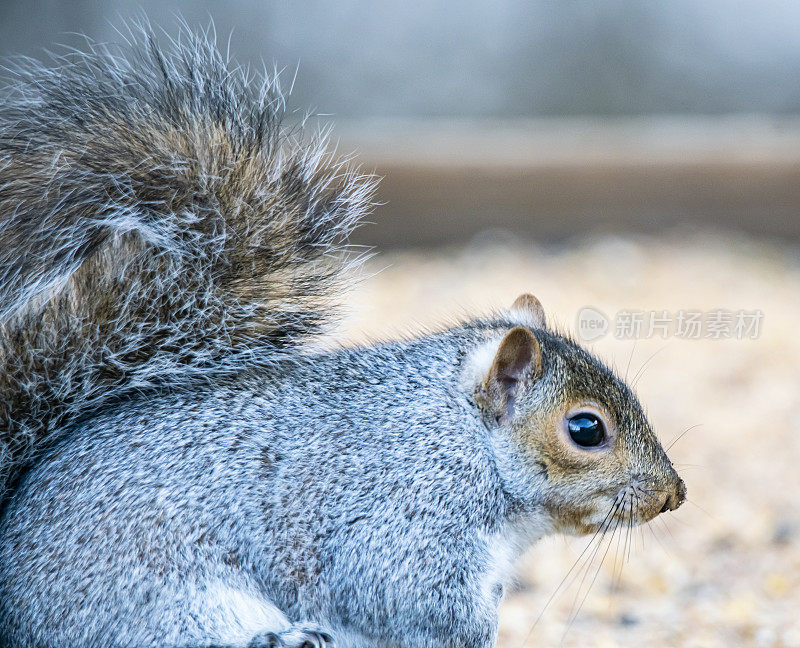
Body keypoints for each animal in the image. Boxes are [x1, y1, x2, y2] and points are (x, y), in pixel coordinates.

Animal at [0, 26, 684, 648]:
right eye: (586, 429)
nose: (672, 495)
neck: (461, 440)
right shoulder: (397, 522)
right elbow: (402, 596)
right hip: (165, 605)